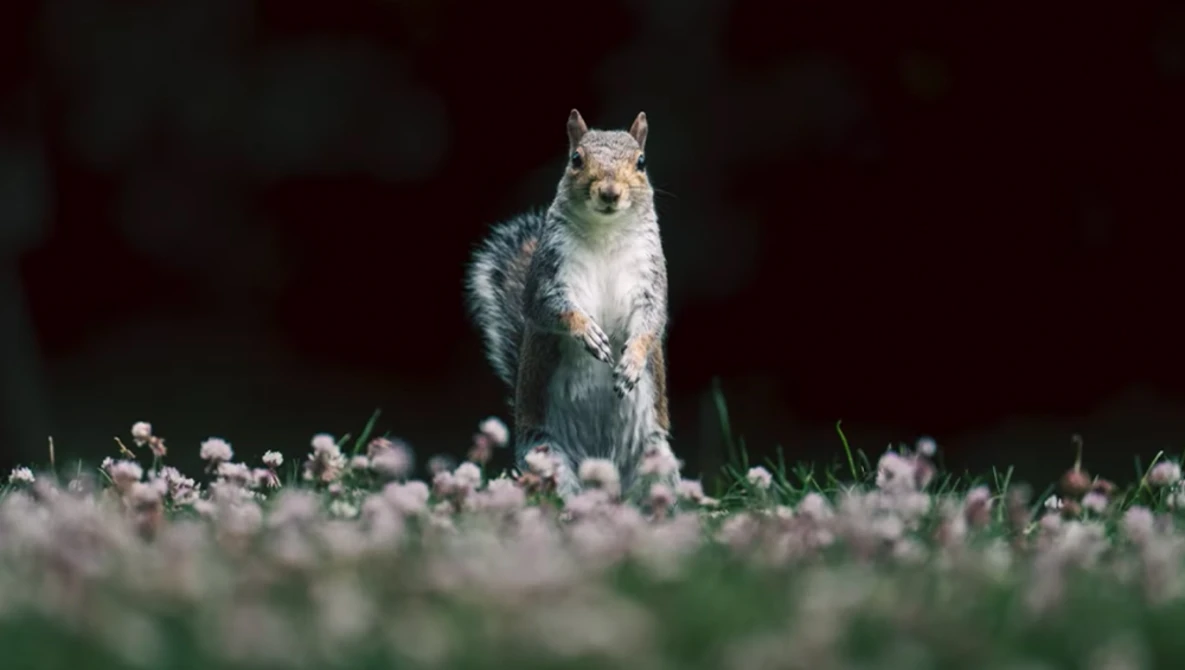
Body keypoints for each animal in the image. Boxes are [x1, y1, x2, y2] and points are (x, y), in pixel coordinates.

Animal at [466, 109, 674, 498]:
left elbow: (652, 321)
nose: (609, 192)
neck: (606, 232)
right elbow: (549, 308)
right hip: (547, 456)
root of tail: (603, 476)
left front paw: (632, 363)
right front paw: (587, 332)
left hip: (656, 457)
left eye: (641, 161)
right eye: (576, 159)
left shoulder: (650, 279)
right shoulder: (548, 273)